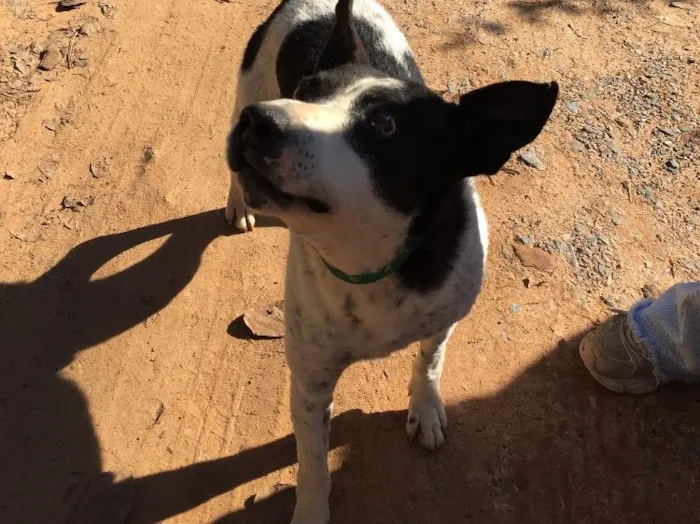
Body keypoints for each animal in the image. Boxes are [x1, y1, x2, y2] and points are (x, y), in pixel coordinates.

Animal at [224, 1, 556, 520]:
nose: (260, 121)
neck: (373, 265)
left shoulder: (445, 316)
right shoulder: (311, 380)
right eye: (304, 92)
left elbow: (430, 360)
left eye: (384, 126)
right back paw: (238, 202)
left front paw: (425, 407)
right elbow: (313, 465)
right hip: (248, 84)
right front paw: (312, 510)